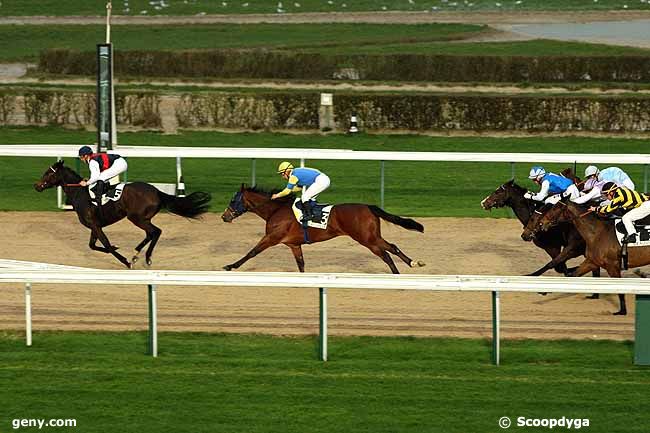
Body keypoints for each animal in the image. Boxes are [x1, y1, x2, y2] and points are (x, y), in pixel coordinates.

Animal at [34, 160, 210, 268]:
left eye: (48, 173)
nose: (37, 186)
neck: (80, 193)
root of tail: (156, 191)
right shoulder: (94, 225)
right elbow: (93, 245)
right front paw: (117, 249)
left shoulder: (94, 225)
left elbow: (106, 244)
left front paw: (125, 261)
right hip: (142, 218)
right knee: (151, 233)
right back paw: (137, 253)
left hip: (136, 217)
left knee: (156, 231)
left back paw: (145, 257)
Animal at [221, 186, 426, 274]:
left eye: (233, 200)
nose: (224, 216)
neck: (275, 210)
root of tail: (368, 206)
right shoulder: (294, 244)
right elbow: (301, 264)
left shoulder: (272, 237)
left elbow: (252, 252)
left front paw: (230, 266)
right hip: (372, 236)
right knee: (390, 249)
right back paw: (408, 266)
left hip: (367, 239)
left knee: (388, 252)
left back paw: (403, 269)